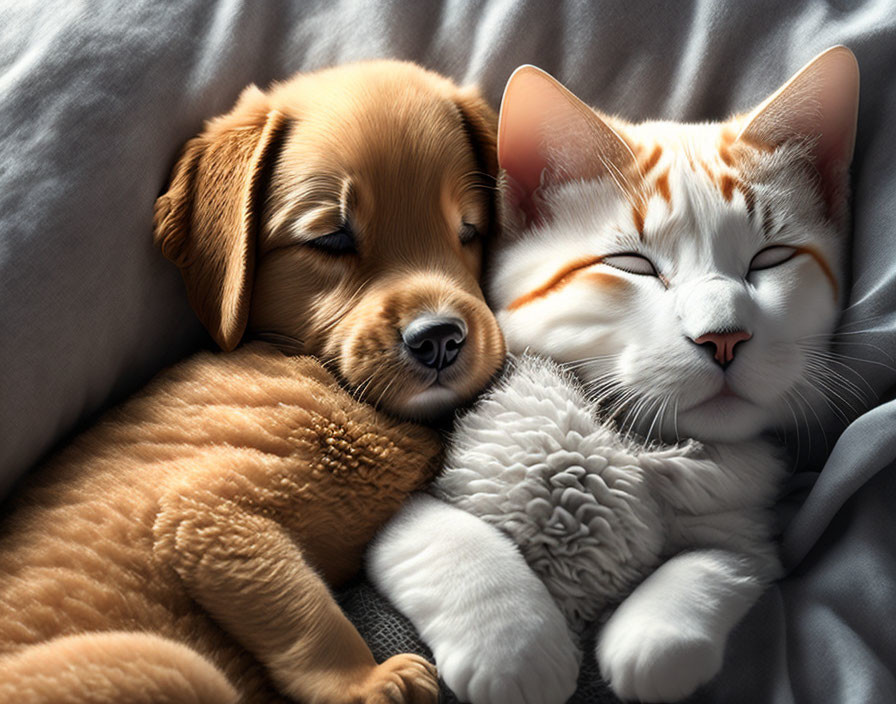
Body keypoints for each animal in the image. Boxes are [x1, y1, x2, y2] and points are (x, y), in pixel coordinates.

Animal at [0, 62, 504, 704]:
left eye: (469, 230)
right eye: (332, 239)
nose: (439, 338)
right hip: (168, 663)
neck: (316, 372)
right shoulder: (207, 516)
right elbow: (306, 612)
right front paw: (366, 680)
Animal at [368, 45, 856, 704]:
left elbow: (726, 562)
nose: (723, 336)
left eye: (770, 259)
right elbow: (435, 532)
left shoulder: (749, 521)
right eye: (632, 265)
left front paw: (655, 632)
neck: (643, 441)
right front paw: (513, 641)